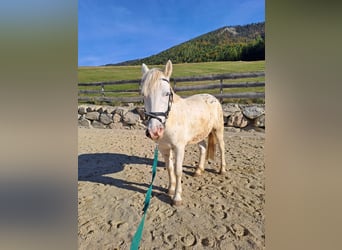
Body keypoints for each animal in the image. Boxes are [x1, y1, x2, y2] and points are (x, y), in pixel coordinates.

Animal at [140, 60, 226, 205]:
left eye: (166, 93)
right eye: (143, 95)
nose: (154, 131)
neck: (171, 120)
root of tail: (212, 97)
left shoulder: (179, 148)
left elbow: (178, 170)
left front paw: (176, 197)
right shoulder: (163, 148)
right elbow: (169, 168)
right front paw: (170, 189)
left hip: (218, 130)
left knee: (222, 147)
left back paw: (222, 170)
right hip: (199, 134)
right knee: (203, 148)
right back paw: (198, 171)